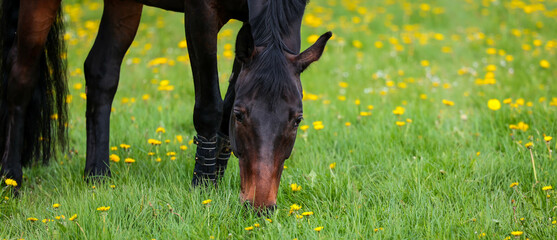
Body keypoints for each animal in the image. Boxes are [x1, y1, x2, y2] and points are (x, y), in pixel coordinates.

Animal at [0, 0, 330, 209]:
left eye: (297, 119)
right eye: (241, 115)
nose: (260, 206)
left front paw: (216, 179)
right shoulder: (200, 15)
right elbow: (210, 107)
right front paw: (204, 186)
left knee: (101, 72)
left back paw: (97, 176)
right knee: (21, 76)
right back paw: (12, 180)